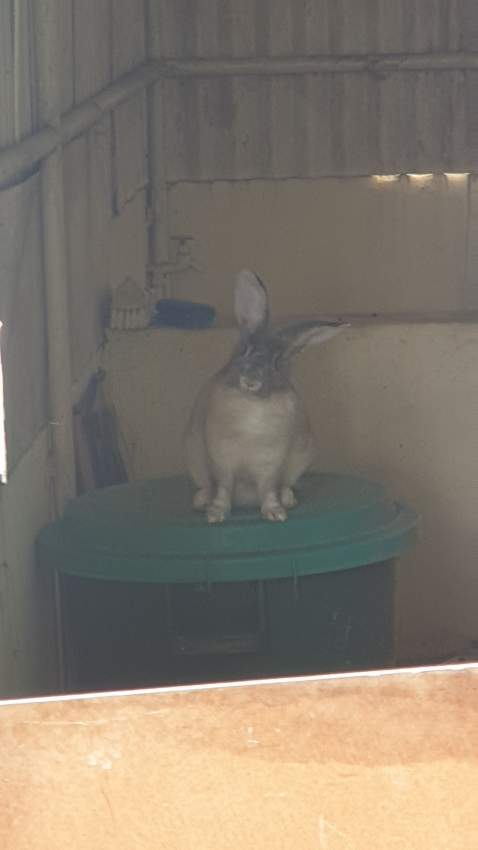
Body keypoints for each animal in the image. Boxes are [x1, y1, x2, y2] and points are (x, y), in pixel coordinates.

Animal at [184, 269, 348, 524]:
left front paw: (276, 513)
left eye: (277, 362)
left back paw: (289, 499)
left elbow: (269, 490)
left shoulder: (270, 465)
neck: (252, 403)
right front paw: (215, 514)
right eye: (245, 350)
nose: (251, 379)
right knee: (207, 487)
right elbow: (222, 489)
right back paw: (201, 501)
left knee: (284, 485)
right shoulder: (222, 464)